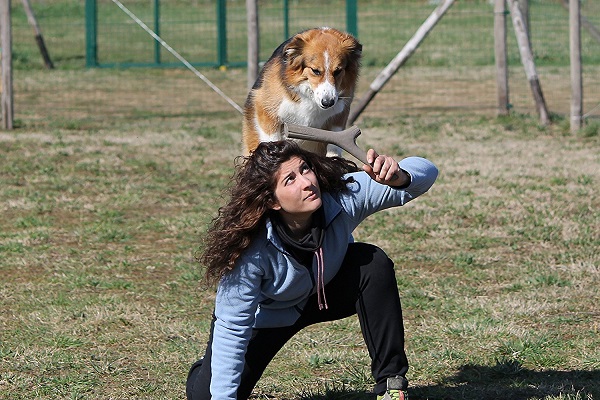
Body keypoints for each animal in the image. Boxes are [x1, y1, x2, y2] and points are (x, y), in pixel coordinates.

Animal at [243, 26, 360, 157]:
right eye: (315, 71)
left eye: (338, 71)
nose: (328, 102)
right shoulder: (266, 111)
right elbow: (271, 137)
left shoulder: (340, 113)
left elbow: (335, 143)